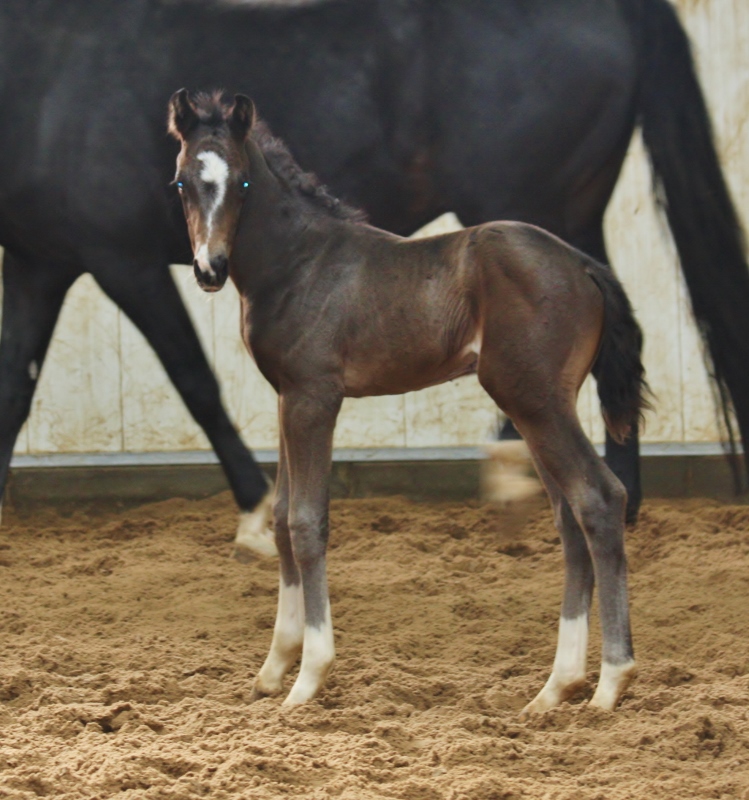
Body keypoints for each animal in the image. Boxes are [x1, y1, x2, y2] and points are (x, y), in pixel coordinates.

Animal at [1, 0, 747, 527]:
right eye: (180, 183)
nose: (210, 267)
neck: (49, 66)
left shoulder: (118, 258)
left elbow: (195, 381)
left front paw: (256, 512)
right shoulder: (40, 261)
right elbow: (14, 390)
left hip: (539, 206)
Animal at [167, 89, 650, 711]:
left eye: (243, 181)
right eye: (182, 181)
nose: (210, 268)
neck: (299, 263)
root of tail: (586, 265)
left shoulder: (314, 398)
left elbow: (306, 522)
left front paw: (308, 676)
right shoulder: (286, 398)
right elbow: (279, 517)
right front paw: (274, 667)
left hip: (535, 401)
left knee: (599, 499)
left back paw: (610, 683)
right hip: (541, 405)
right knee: (570, 516)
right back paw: (555, 687)